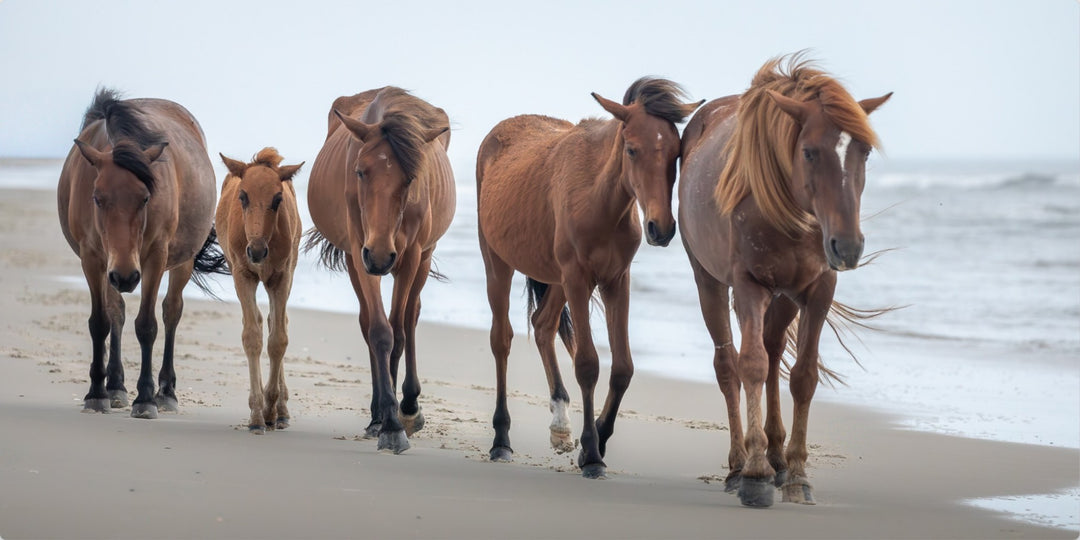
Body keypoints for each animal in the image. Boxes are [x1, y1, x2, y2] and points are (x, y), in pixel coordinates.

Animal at [57, 88, 227, 419]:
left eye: (146, 197)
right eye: (97, 198)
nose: (125, 277)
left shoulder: (154, 258)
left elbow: (147, 326)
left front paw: (146, 399)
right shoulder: (93, 258)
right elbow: (100, 322)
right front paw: (97, 393)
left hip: (181, 262)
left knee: (172, 312)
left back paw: (166, 392)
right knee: (117, 313)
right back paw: (115, 387)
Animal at [215, 148, 304, 434]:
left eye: (277, 199)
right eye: (243, 196)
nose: (256, 251)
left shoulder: (281, 276)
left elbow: (279, 339)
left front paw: (271, 410)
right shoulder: (243, 274)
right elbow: (252, 336)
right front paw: (256, 415)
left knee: (277, 321)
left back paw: (282, 411)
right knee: (257, 321)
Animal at [305, 87, 454, 454]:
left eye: (411, 178)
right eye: (360, 171)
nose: (381, 255)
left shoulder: (411, 255)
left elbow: (398, 332)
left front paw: (399, 417)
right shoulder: (360, 250)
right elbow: (379, 331)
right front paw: (387, 423)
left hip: (423, 257)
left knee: (411, 317)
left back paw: (410, 406)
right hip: (354, 258)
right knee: (368, 323)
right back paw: (377, 416)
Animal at [476, 78, 702, 478]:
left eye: (676, 153)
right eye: (632, 149)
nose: (660, 229)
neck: (599, 199)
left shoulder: (616, 281)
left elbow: (623, 368)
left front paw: (595, 441)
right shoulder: (578, 279)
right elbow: (588, 364)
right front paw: (593, 454)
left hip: (557, 281)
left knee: (543, 325)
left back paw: (560, 426)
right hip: (499, 263)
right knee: (501, 339)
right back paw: (501, 440)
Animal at [677, 54, 891, 507]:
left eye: (863, 151)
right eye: (809, 151)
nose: (848, 246)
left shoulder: (817, 290)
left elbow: (803, 376)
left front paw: (795, 473)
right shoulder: (748, 286)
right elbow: (751, 365)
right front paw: (756, 474)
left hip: (785, 296)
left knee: (775, 352)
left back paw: (776, 457)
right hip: (709, 282)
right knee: (729, 365)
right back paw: (739, 465)